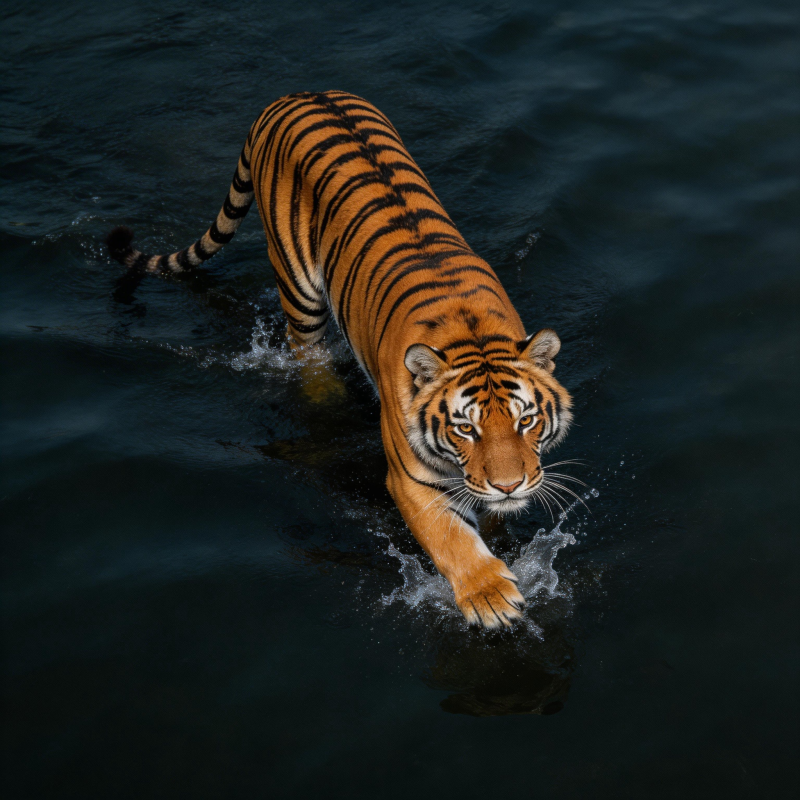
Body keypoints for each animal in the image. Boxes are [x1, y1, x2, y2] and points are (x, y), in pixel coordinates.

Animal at [106, 90, 573, 629]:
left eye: (526, 421)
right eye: (464, 428)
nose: (509, 485)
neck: (470, 334)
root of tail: (293, 95)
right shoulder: (411, 479)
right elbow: (450, 538)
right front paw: (489, 596)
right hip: (299, 288)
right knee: (307, 355)